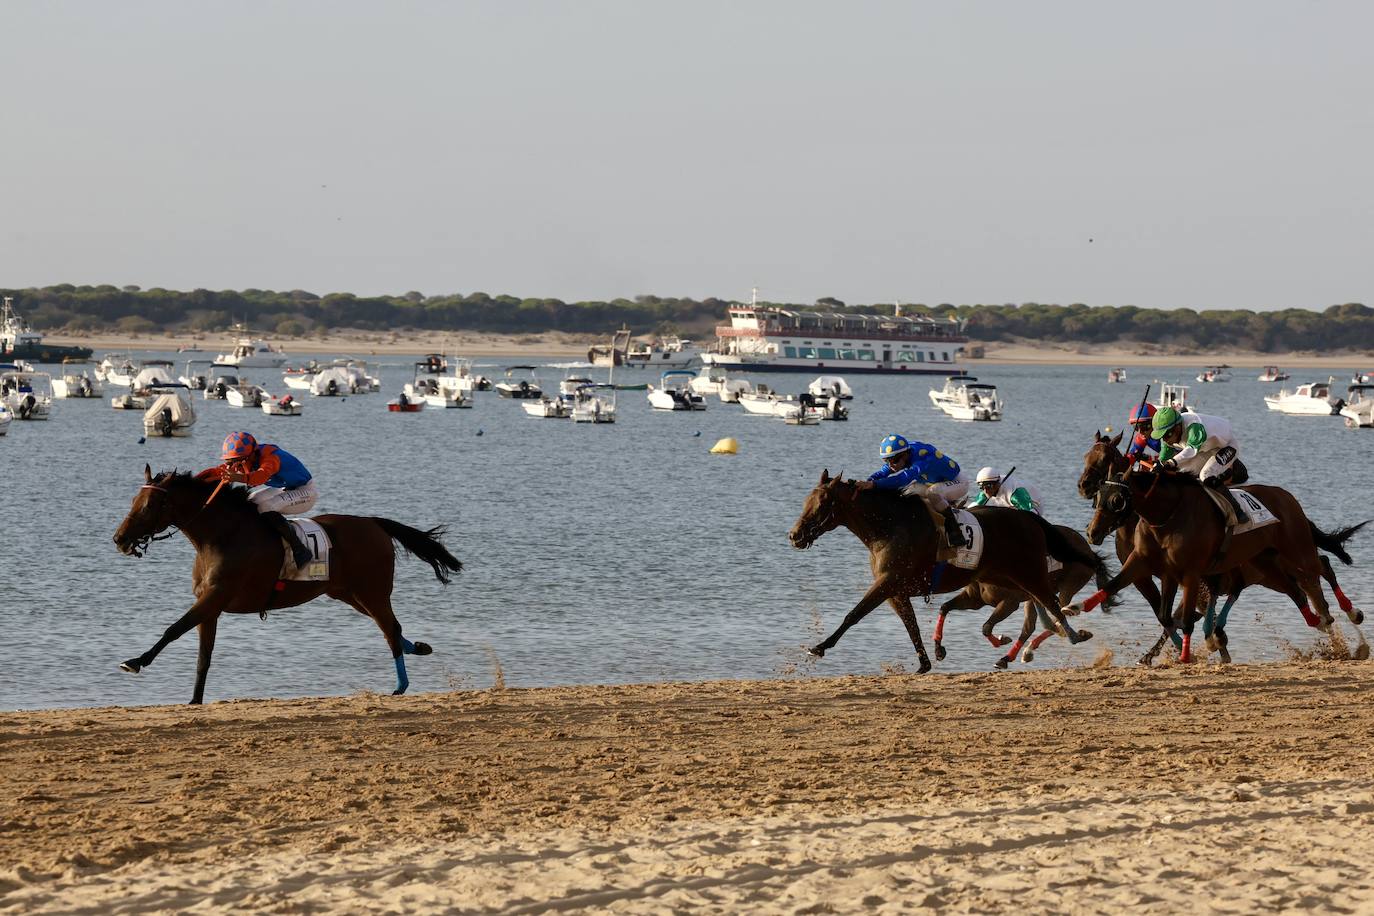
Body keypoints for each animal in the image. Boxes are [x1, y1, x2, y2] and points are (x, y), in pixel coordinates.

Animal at [113, 467, 463, 703]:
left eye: (148, 506)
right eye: (133, 500)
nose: (119, 539)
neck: (223, 535)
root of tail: (374, 523)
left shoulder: (214, 597)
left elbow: (174, 628)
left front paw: (135, 662)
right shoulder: (210, 606)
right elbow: (203, 657)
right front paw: (195, 700)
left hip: (372, 592)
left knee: (390, 630)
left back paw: (400, 686)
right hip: (348, 594)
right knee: (394, 627)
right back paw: (419, 648)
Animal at [932, 524, 1116, 668]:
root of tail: (1089, 551)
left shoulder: (1009, 602)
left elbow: (986, 627)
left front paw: (1002, 639)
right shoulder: (974, 598)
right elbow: (945, 607)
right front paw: (939, 650)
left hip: (1068, 585)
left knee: (1061, 613)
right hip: (1034, 597)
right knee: (1030, 626)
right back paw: (1010, 657)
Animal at [1080, 433, 1367, 663]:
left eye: (1117, 500)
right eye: (1099, 496)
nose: (1092, 532)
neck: (1167, 514)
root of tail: (1287, 498)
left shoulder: (1190, 573)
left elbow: (1182, 616)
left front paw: (1190, 651)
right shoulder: (1153, 571)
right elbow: (1161, 612)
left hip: (1295, 552)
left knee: (1322, 569)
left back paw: (1352, 617)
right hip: (1268, 565)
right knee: (1301, 593)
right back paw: (1325, 627)